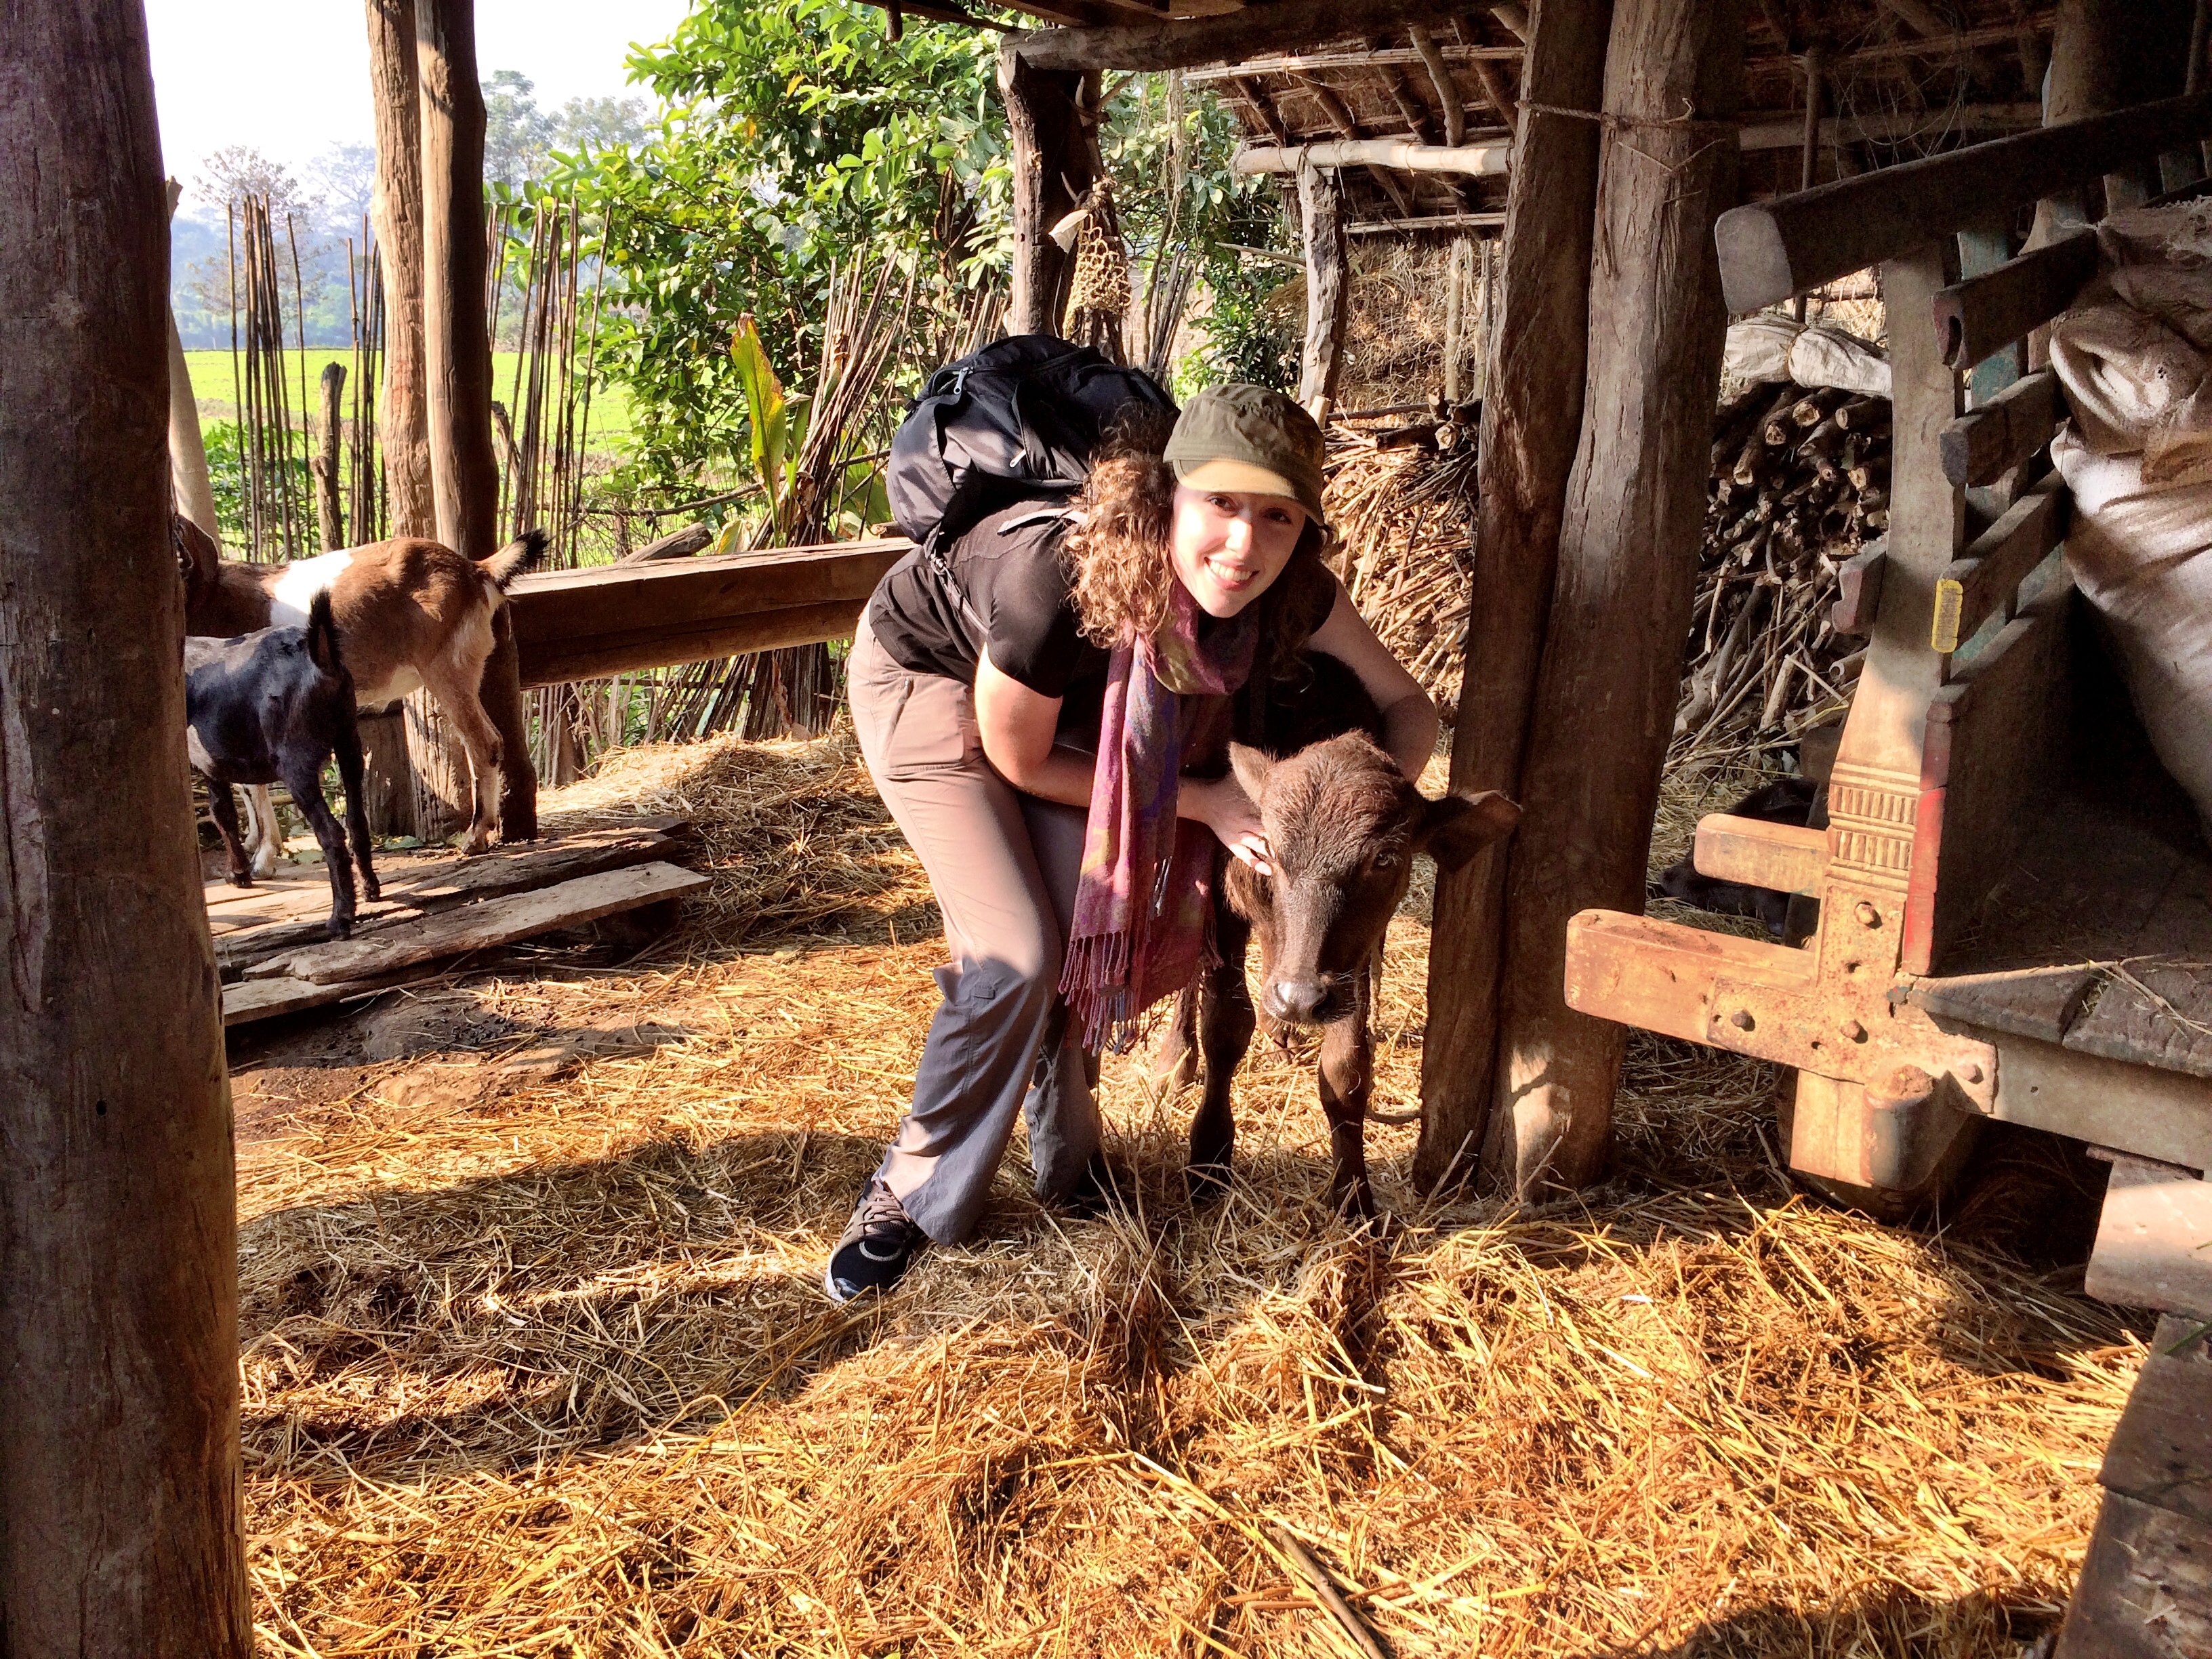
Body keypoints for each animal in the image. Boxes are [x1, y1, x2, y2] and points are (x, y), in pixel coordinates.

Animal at [175, 515, 545, 859]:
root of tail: (475, 571)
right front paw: (257, 844)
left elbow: (250, 783)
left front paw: (265, 855)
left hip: (447, 668)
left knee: (485, 743)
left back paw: (476, 837)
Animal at [186, 592, 379, 940]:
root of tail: (318, 655)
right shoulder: (215, 769)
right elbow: (225, 813)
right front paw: (240, 871)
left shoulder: (208, 767)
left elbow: (221, 815)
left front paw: (239, 873)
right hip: (349, 743)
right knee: (357, 821)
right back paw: (370, 889)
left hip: (296, 766)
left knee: (331, 834)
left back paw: (340, 916)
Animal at [1164, 653, 1521, 1219]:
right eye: (1268, 849)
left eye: (1385, 859)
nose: (1300, 997)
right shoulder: (1226, 907)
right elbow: (1224, 1027)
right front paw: (1208, 1158)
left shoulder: (1352, 961)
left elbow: (1346, 1069)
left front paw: (1354, 1196)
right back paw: (1179, 1058)